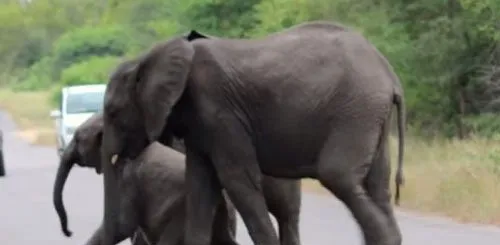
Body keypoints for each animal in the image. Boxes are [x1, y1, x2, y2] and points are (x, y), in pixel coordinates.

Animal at [101, 20, 406, 245]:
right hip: (371, 116)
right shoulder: (201, 125)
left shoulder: (220, 112)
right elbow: (200, 185)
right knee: (377, 188)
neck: (150, 58)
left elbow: (237, 180)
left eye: (113, 112)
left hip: (356, 110)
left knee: (337, 175)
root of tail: (391, 76)